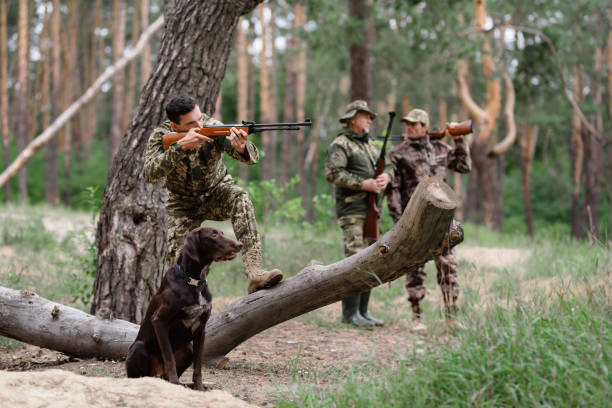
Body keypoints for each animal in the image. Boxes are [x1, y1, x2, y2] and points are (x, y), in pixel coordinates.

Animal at [125, 226, 243, 388]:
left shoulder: (201, 329)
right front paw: (175, 383)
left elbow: (198, 365)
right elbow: (169, 359)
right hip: (138, 348)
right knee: (140, 375)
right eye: (213, 235)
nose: (240, 244)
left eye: (222, 233)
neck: (193, 282)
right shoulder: (159, 320)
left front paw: (199, 388)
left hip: (188, 349)